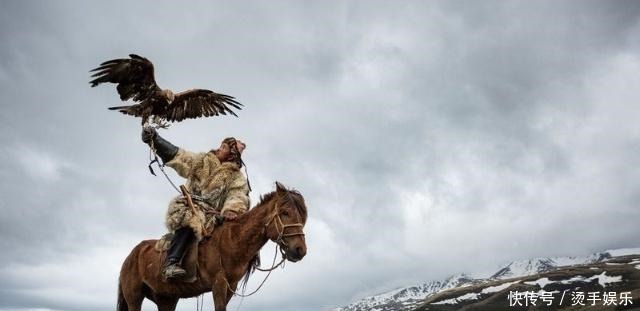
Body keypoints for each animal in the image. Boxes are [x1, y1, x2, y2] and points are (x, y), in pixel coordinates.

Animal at [117, 183, 308, 311]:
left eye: (302, 216)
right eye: (285, 213)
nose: (300, 250)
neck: (232, 240)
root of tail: (131, 256)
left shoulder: (230, 287)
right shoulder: (219, 284)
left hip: (167, 299)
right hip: (134, 297)